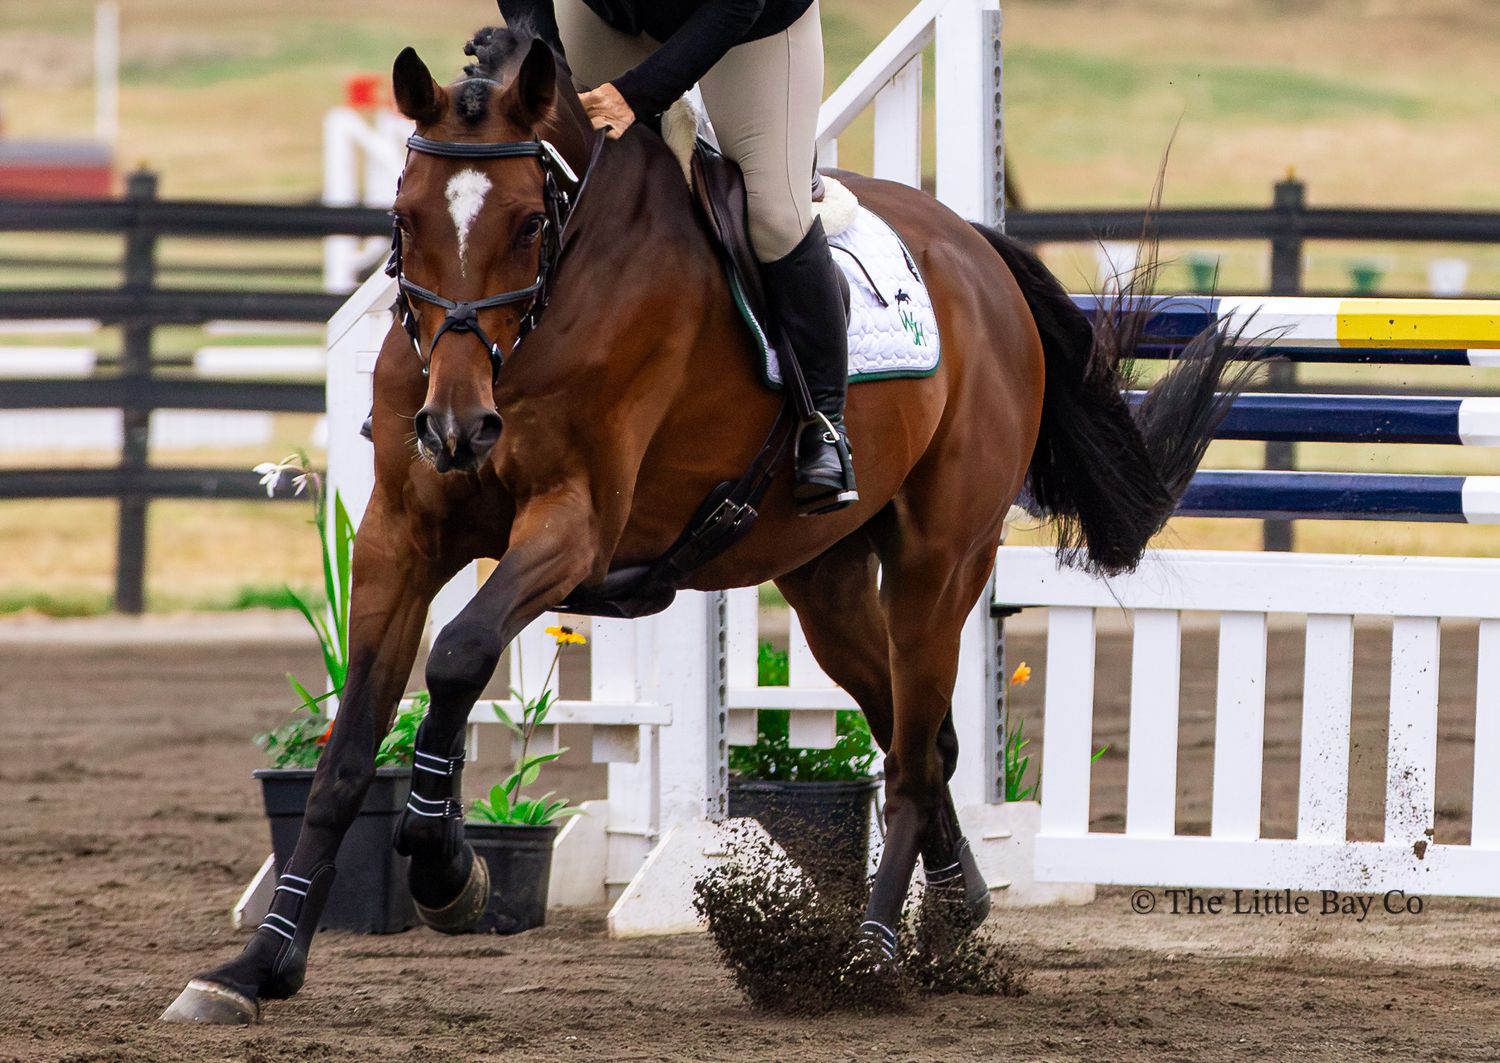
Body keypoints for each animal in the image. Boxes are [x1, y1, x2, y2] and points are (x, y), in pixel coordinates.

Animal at [164, 24, 1252, 1025]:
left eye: (528, 223)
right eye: (403, 218)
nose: (456, 429)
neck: (549, 305)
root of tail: (976, 249)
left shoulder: (575, 527)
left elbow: (463, 653)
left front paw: (445, 870)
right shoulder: (400, 537)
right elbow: (346, 753)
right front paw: (256, 966)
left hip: (937, 563)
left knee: (908, 756)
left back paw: (868, 955)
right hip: (824, 582)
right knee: (925, 736)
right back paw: (956, 912)